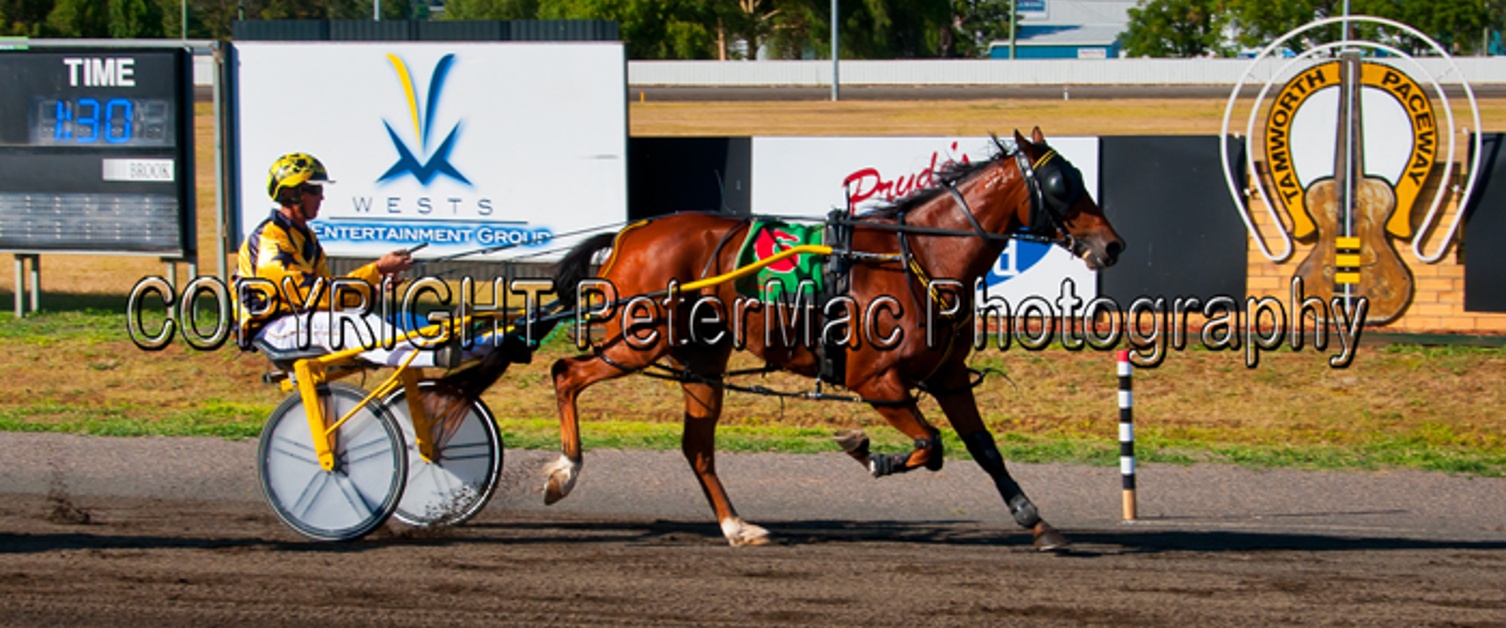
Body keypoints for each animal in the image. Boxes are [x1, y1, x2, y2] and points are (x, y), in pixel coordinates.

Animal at [542, 129, 1120, 545]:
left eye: (1078, 177)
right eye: (1062, 185)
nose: (1112, 244)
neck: (919, 257)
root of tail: (631, 233)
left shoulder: (949, 376)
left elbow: (984, 448)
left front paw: (1036, 520)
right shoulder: (877, 382)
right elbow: (930, 445)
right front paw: (869, 452)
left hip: (700, 356)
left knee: (696, 447)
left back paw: (737, 527)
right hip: (640, 339)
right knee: (566, 373)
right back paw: (565, 471)